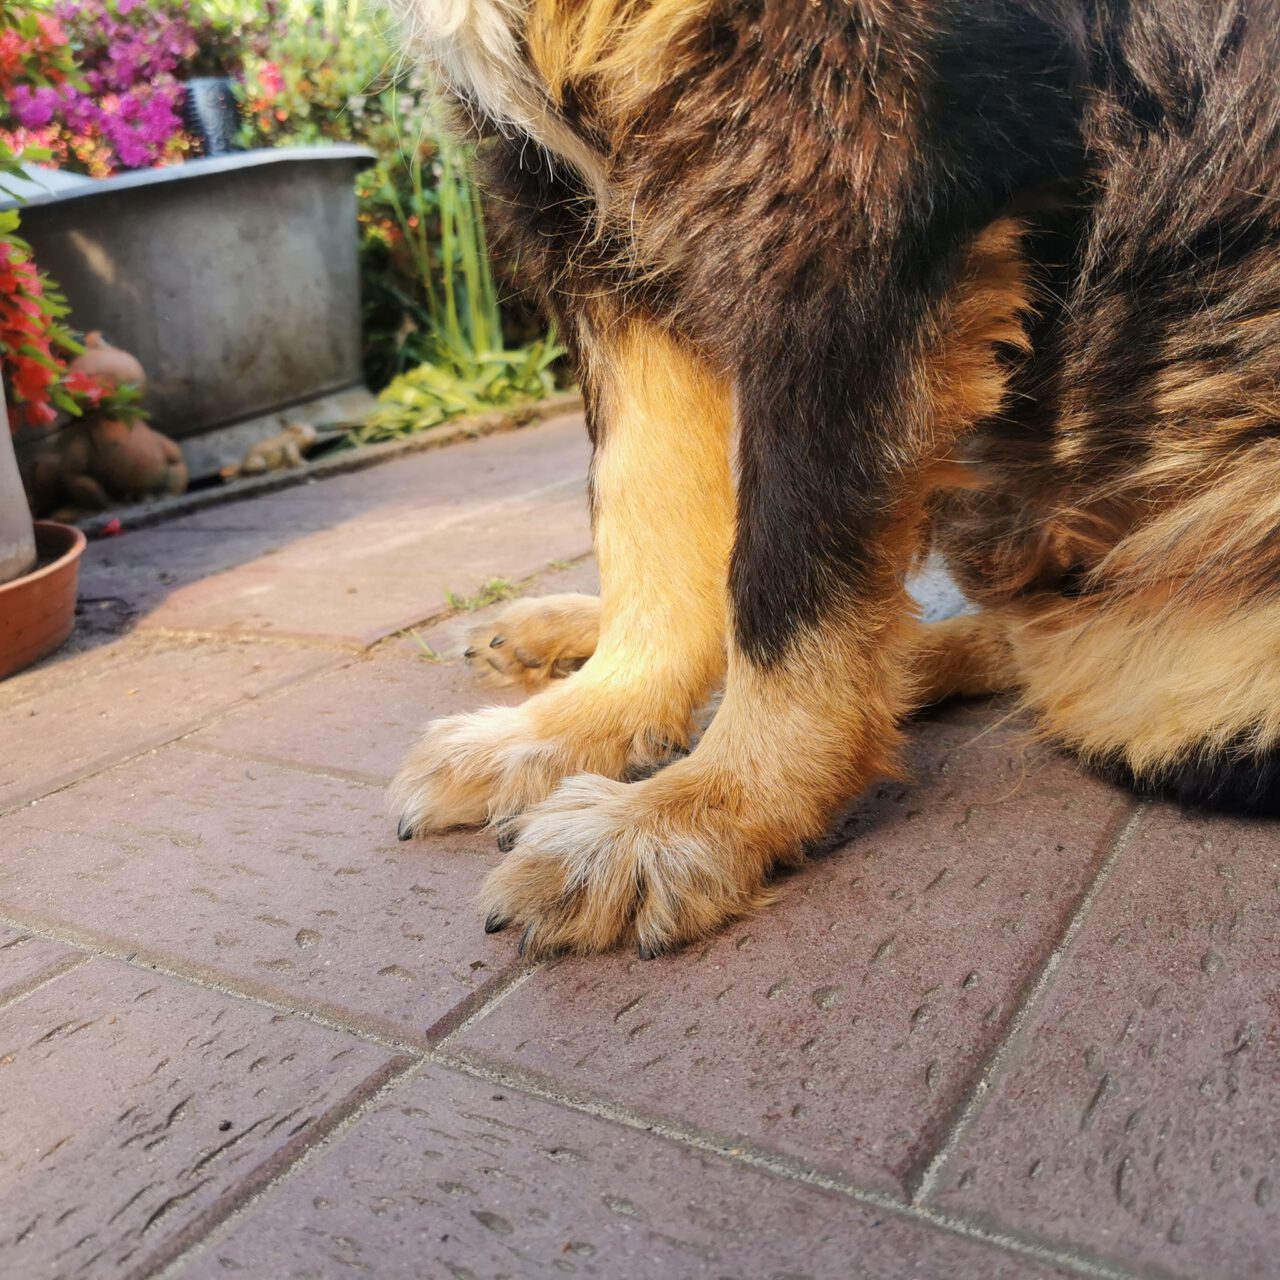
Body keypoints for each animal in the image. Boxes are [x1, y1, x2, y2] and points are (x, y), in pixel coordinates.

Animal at [384, 2, 1280, 962]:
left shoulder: (854, 186)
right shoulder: (574, 214)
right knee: (1025, 632)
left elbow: (785, 576)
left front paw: (702, 812)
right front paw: (580, 722)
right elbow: (641, 509)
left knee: (1075, 661)